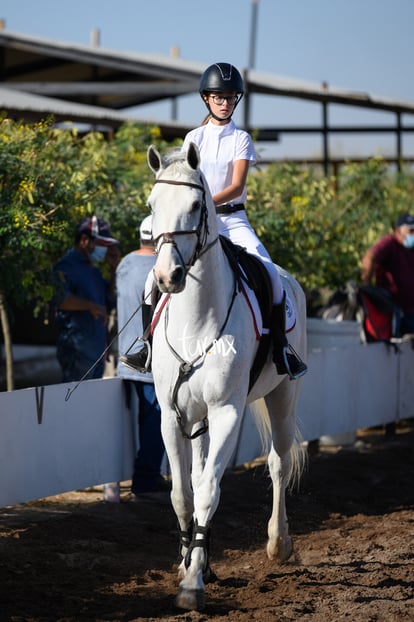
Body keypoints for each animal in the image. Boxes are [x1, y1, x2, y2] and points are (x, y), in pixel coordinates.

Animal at [147, 143, 306, 616]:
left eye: (197, 206)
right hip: (196, 419)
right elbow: (184, 494)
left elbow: (208, 493)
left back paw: (278, 544)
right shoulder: (171, 416)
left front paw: (193, 585)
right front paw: (189, 565)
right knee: (201, 474)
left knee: (278, 461)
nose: (167, 277)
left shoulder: (226, 413)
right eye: (152, 205)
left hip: (283, 396)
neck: (196, 319)